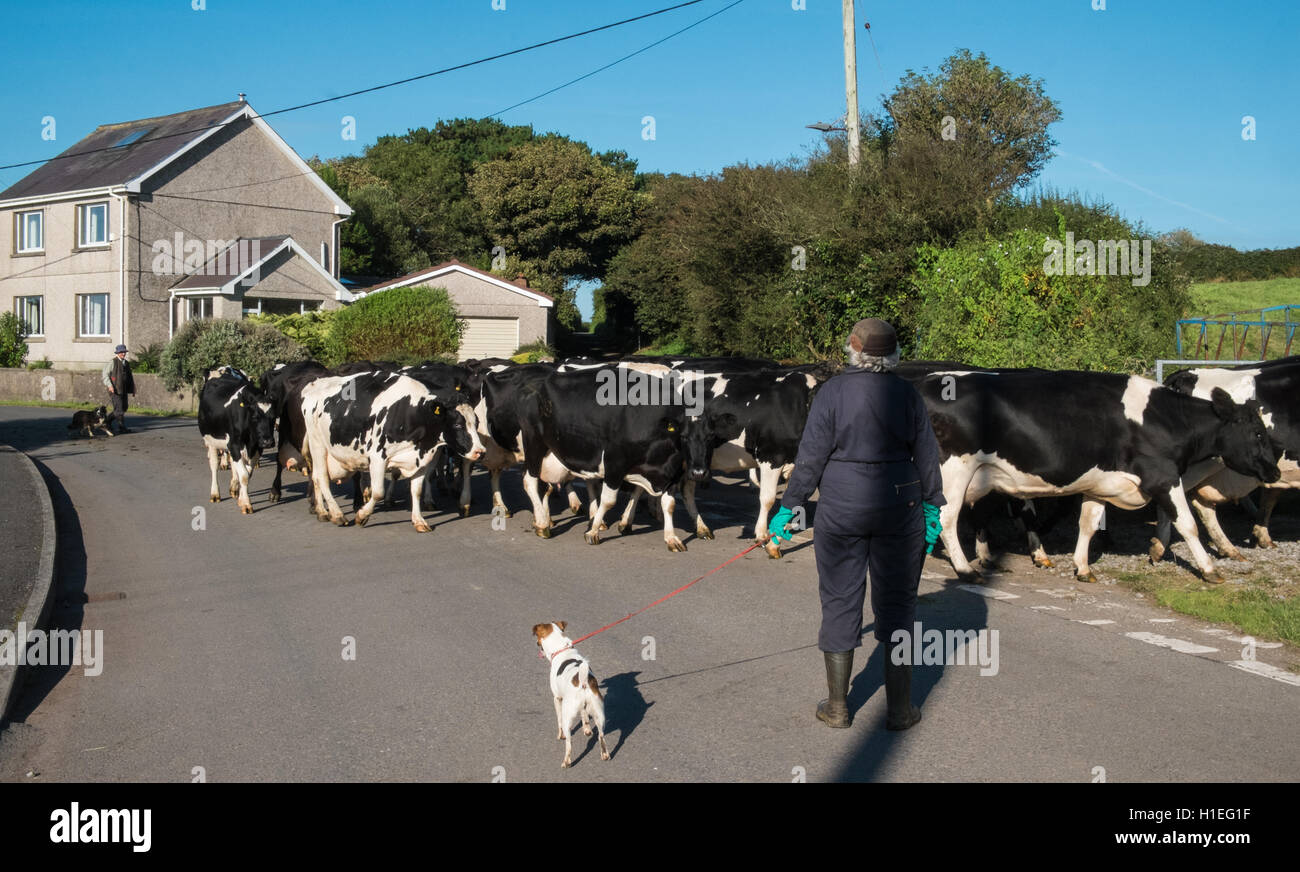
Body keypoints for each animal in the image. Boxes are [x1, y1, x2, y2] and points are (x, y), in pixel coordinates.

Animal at [196, 366, 278, 512]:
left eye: (273, 417)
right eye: (255, 416)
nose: (268, 441)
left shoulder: (256, 447)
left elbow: (247, 473)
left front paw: (240, 496)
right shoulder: (234, 444)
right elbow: (244, 474)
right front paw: (246, 503)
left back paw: (234, 488)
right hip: (211, 440)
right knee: (214, 466)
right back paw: (215, 494)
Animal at [300, 369, 488, 532]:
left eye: (476, 422)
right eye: (458, 425)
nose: (480, 451)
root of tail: (315, 384)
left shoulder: (419, 459)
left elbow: (416, 491)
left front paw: (419, 521)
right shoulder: (377, 457)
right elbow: (378, 492)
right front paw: (362, 516)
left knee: (315, 476)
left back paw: (322, 512)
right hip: (318, 444)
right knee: (322, 478)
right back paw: (337, 514)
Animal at [915, 366, 1279, 579]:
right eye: (1258, 433)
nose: (1274, 470)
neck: (1165, 420)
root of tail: (928, 384)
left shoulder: (1101, 485)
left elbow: (1088, 524)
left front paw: (1082, 567)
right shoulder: (1164, 478)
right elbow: (1187, 524)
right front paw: (1209, 568)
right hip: (955, 472)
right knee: (946, 518)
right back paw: (964, 568)